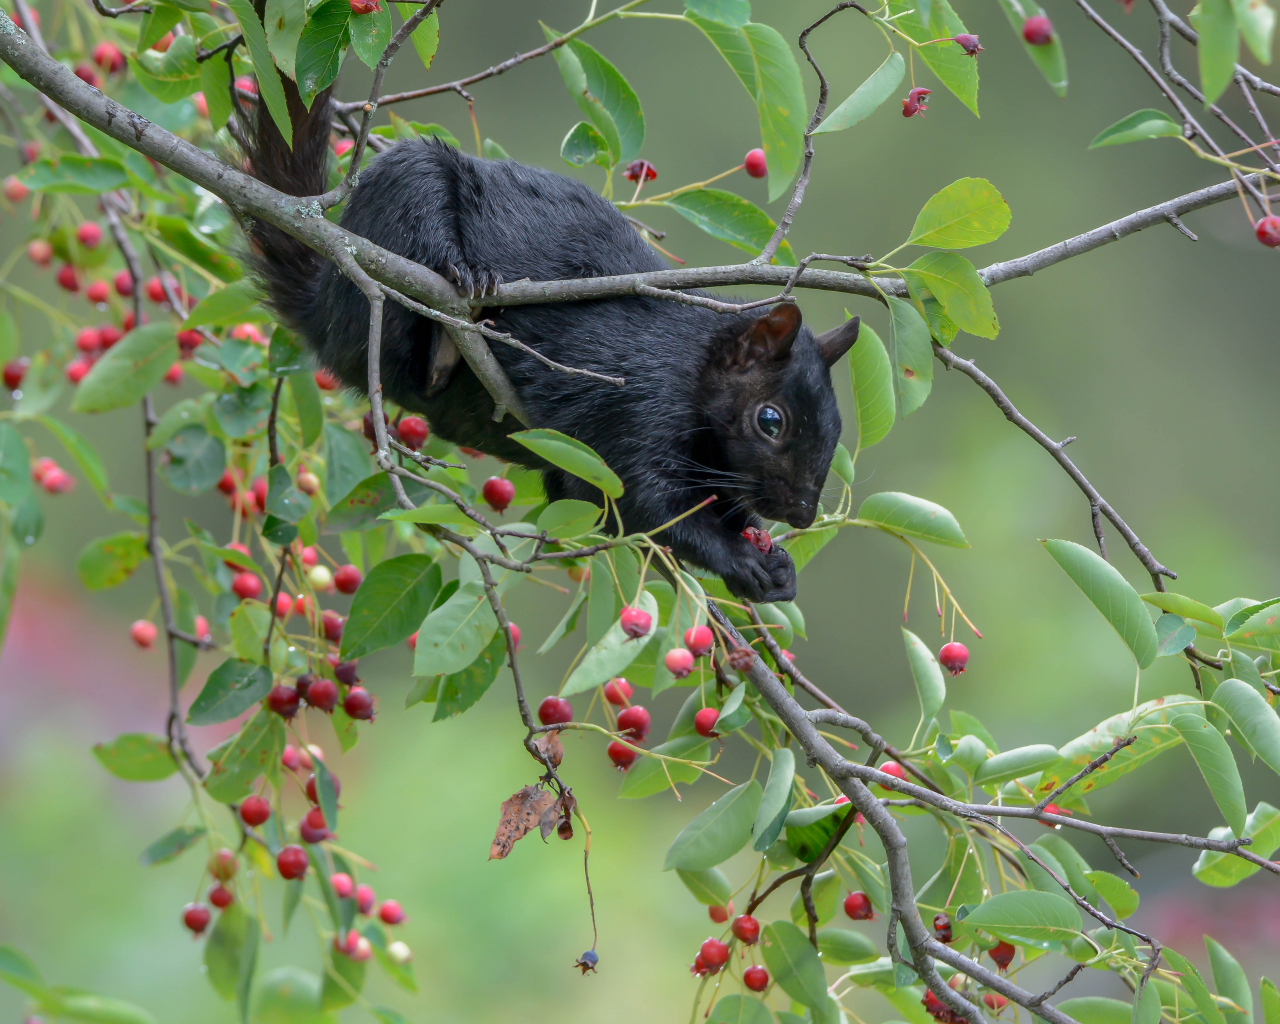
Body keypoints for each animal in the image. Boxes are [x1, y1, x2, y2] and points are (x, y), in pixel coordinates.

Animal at [243, 85, 855, 609]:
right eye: (770, 420)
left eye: (836, 427)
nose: (802, 516)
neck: (691, 365)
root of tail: (321, 305)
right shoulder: (635, 403)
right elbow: (640, 502)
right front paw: (737, 559)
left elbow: (597, 498)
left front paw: (774, 564)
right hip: (402, 205)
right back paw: (456, 309)